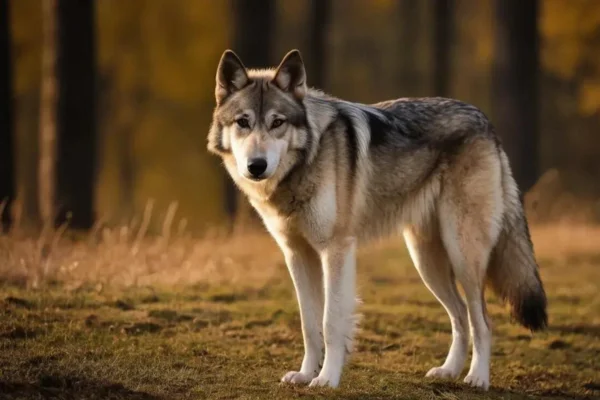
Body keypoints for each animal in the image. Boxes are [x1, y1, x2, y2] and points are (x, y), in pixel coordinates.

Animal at [207, 50, 548, 390]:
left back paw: (477, 377)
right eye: (243, 122)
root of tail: (485, 120)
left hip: (462, 253)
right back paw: (449, 371)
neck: (304, 164)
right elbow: (309, 324)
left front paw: (326, 379)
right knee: (460, 316)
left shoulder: (336, 250)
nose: (256, 165)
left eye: (277, 122)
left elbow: (331, 322)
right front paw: (305, 374)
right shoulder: (297, 255)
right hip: (427, 261)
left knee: (483, 321)